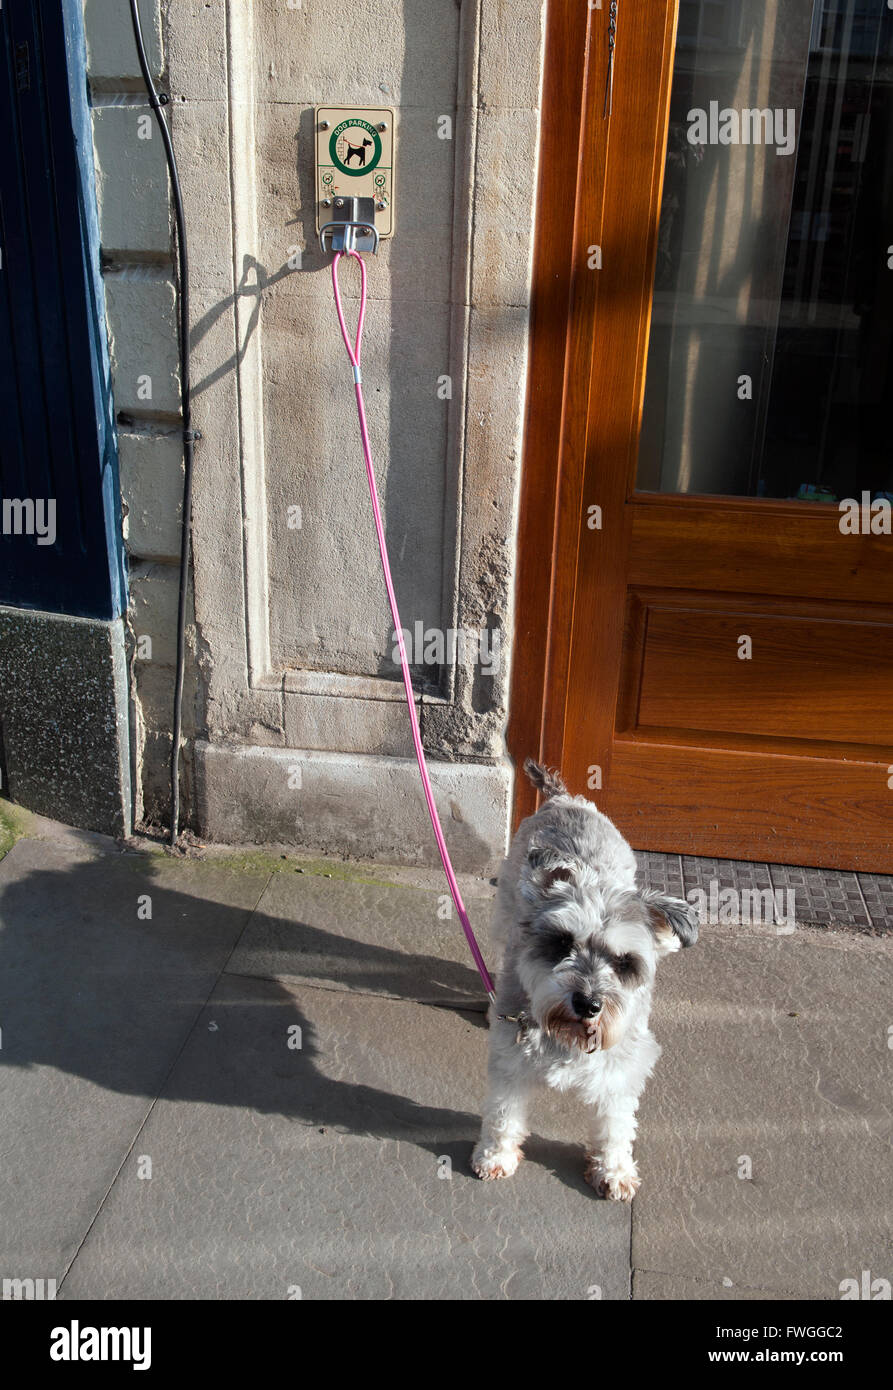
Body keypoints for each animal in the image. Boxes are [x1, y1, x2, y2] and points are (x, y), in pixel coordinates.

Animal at [472, 761, 695, 1195]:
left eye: (624, 963)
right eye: (562, 943)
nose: (588, 1004)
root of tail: (566, 799)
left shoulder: (623, 1068)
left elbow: (616, 1124)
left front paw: (614, 1169)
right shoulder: (510, 1058)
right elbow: (504, 1113)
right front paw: (496, 1155)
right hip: (505, 914)